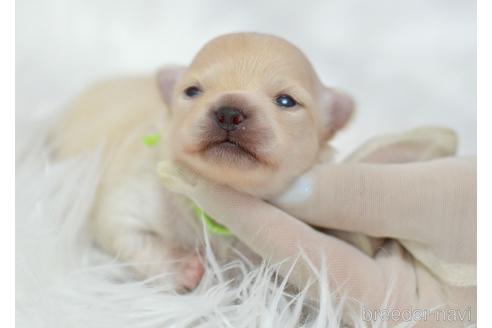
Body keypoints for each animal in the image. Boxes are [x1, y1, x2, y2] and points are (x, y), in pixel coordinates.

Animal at [52, 33, 354, 290]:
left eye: (286, 101)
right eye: (192, 91)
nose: (229, 113)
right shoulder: (129, 199)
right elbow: (130, 234)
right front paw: (183, 268)